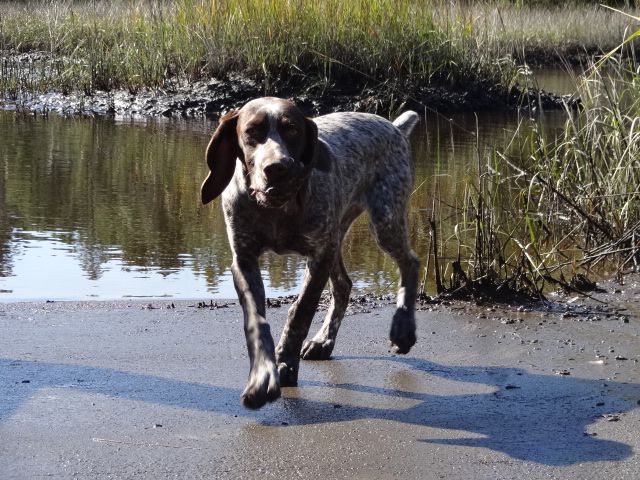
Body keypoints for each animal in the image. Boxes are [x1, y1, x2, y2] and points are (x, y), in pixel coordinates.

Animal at [200, 98, 420, 408]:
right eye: (251, 132)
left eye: (292, 130)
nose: (277, 168)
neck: (276, 211)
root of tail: (394, 126)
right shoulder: (244, 260)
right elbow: (256, 321)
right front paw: (262, 376)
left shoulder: (319, 255)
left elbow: (300, 311)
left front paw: (285, 364)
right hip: (339, 234)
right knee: (343, 285)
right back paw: (324, 341)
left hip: (384, 219)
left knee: (410, 263)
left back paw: (403, 328)